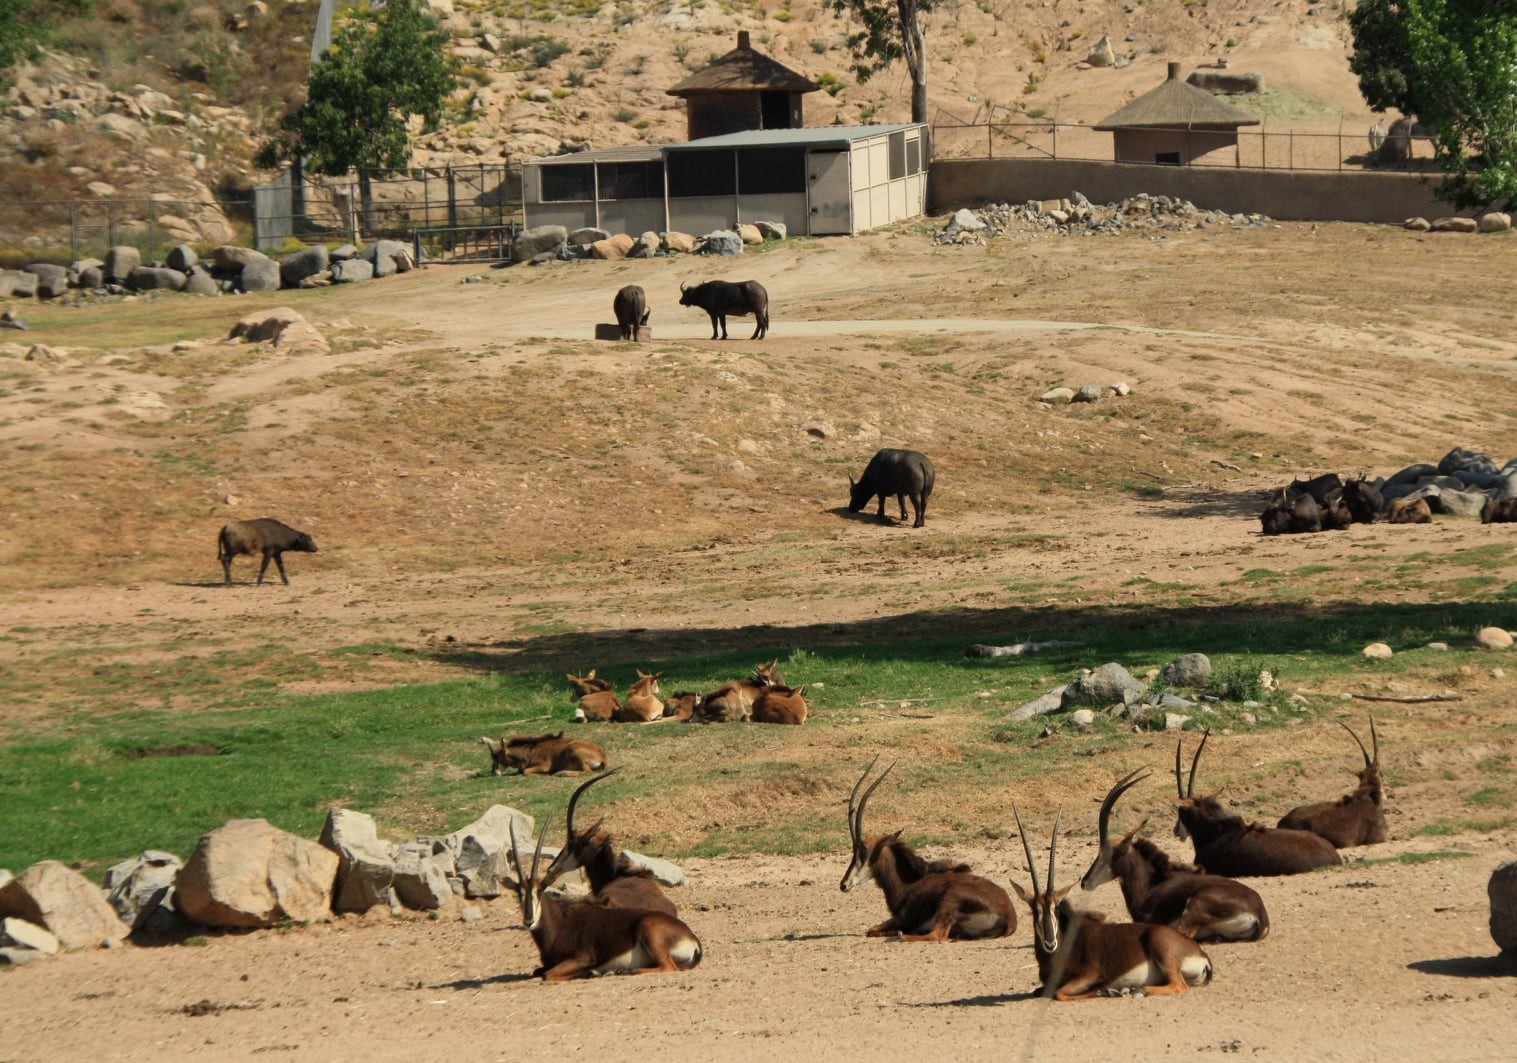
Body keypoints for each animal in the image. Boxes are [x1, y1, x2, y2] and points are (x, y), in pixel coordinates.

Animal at [479, 732, 610, 776]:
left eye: (499, 758)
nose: (495, 772)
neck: (530, 751)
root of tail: (603, 756)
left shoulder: (544, 765)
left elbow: (525, 771)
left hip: (572, 749)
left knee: (587, 772)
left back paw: (562, 773)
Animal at [504, 820, 702, 981]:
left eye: (539, 891)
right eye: (518, 893)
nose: (528, 920)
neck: (558, 922)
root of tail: (693, 940)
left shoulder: (583, 957)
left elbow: (548, 974)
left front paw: (592, 972)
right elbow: (538, 971)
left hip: (650, 933)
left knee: (669, 967)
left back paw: (625, 971)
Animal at [839, 759, 1015, 941]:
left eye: (865, 852)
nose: (844, 885)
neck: (910, 882)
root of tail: (1009, 918)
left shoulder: (902, 918)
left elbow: (871, 929)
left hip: (949, 901)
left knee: (936, 935)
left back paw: (903, 935)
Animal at [1012, 807, 1214, 1000]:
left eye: (1056, 908)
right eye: (1034, 910)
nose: (1050, 943)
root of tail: (1201, 954)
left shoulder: (1089, 976)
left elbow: (1060, 993)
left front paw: (1107, 991)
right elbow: (1040, 991)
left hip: (1162, 948)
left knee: (1179, 986)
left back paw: (1138, 990)